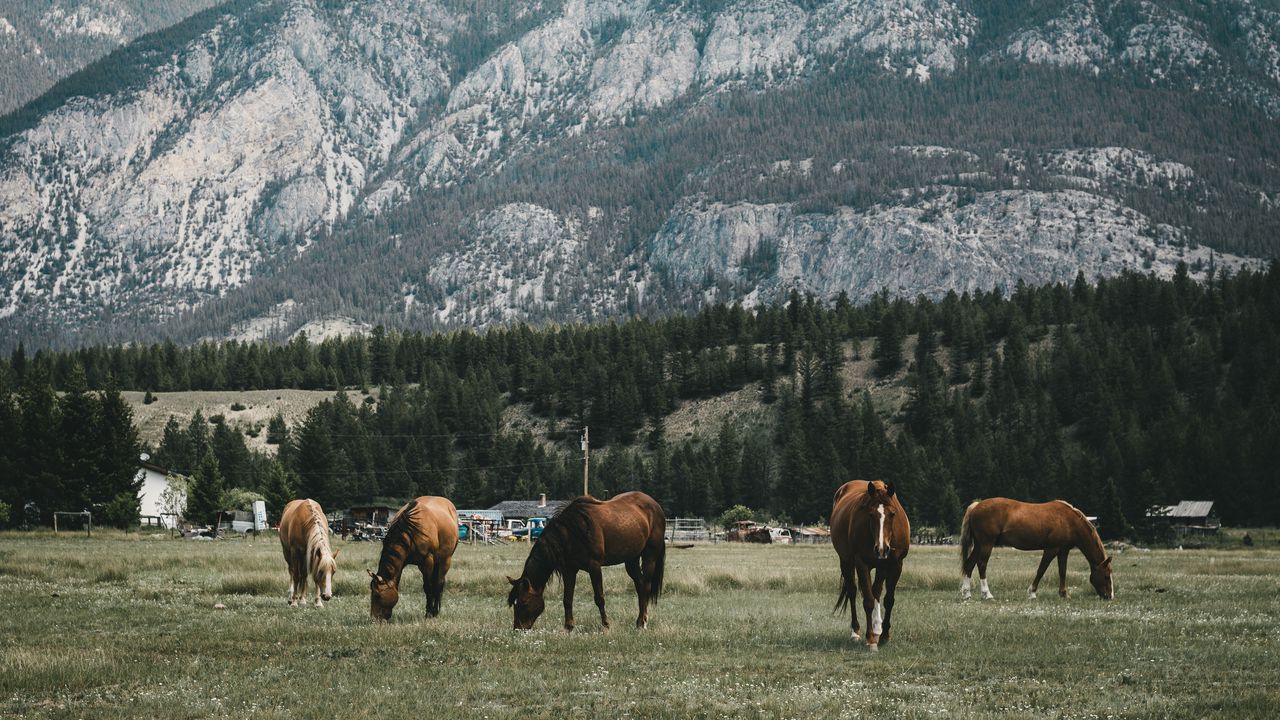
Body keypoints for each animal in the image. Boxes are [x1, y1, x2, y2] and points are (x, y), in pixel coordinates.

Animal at [506, 489, 670, 630]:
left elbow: (599, 598)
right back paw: (639, 621)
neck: (571, 532)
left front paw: (606, 625)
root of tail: (656, 506)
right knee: (640, 585)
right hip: (631, 559)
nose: (518, 628)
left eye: (524, 602)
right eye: (514, 603)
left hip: (650, 556)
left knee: (646, 586)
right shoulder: (569, 570)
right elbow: (567, 599)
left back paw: (643, 622)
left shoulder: (594, 567)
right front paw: (568, 627)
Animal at [829, 479, 911, 648]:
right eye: (871, 514)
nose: (881, 549)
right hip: (846, 562)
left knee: (876, 592)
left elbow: (888, 600)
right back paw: (855, 632)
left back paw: (877, 628)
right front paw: (871, 639)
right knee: (853, 592)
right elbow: (868, 601)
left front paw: (884, 635)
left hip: (881, 567)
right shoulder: (861, 564)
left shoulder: (896, 565)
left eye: (892, 514)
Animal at [962, 491, 1111, 599]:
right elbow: (1041, 570)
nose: (1109, 596)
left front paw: (1064, 594)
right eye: (1106, 576)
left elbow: (1062, 571)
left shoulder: (1063, 551)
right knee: (982, 565)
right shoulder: (1051, 549)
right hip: (987, 544)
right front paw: (1032, 592)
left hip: (979, 545)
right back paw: (987, 594)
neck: (1069, 521)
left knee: (969, 564)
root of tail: (976, 506)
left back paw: (966, 593)